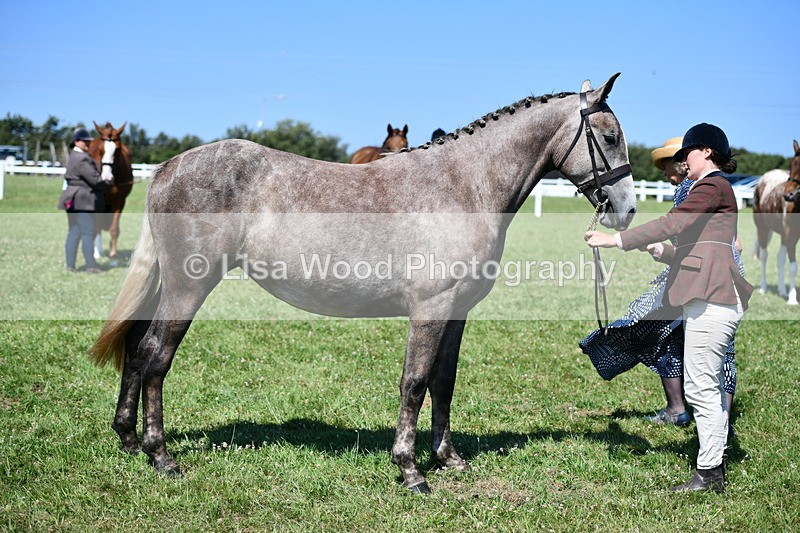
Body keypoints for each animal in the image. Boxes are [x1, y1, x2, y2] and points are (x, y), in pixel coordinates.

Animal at [88, 121, 134, 267]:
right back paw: (97, 252)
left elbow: (114, 229)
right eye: (101, 149)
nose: (106, 177)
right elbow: (96, 226)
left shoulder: (119, 201)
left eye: (117, 149)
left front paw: (113, 258)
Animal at [753, 139, 800, 305]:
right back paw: (763, 287)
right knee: (764, 256)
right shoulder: (791, 235)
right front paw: (792, 299)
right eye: (791, 166)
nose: (788, 195)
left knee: (780, 258)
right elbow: (793, 267)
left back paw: (781, 290)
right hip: (763, 229)